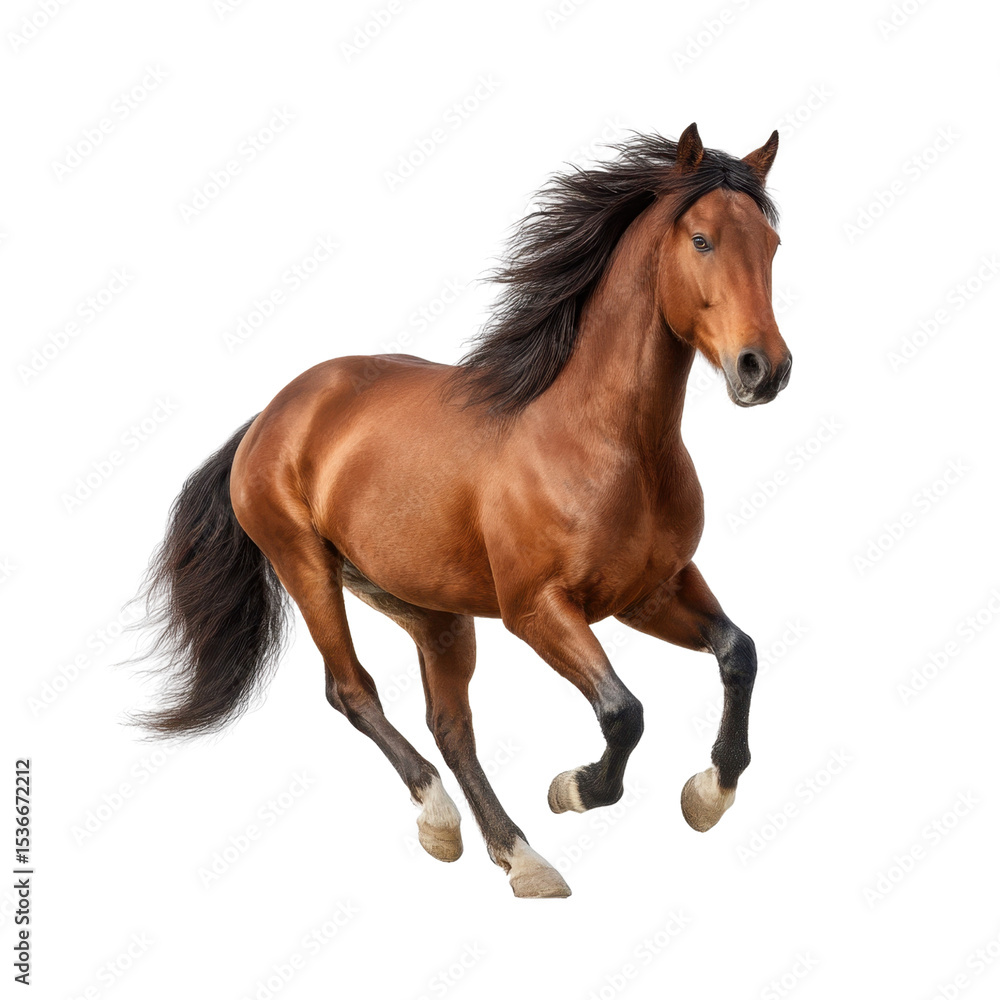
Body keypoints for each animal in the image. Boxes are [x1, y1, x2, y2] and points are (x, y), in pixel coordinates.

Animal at [133, 123, 792, 898]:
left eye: (772, 244)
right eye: (701, 239)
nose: (764, 369)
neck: (609, 442)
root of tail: (273, 413)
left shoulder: (648, 591)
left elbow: (739, 653)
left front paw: (709, 794)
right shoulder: (537, 609)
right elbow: (623, 712)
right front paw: (574, 788)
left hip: (429, 609)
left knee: (450, 724)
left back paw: (519, 856)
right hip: (307, 569)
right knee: (352, 691)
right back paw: (442, 821)